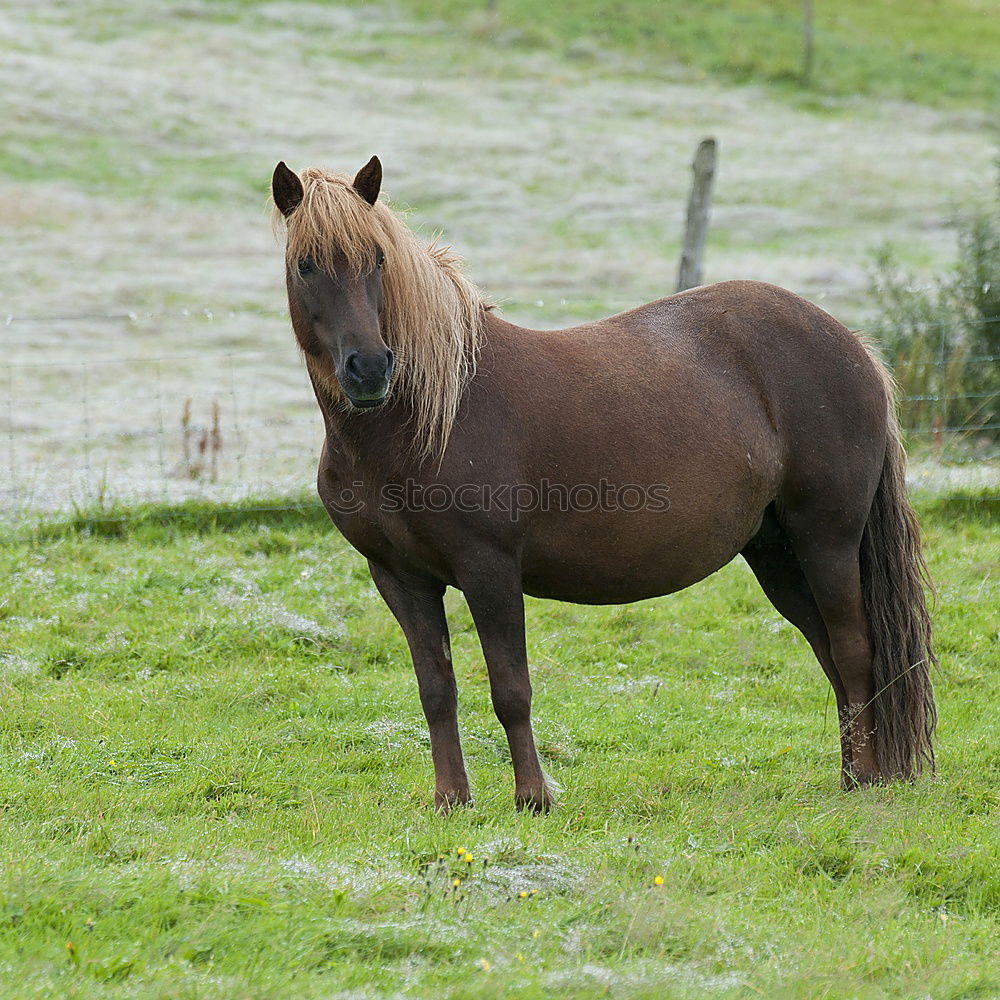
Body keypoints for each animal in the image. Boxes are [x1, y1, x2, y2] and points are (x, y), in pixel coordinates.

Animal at [270, 156, 932, 812]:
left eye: (377, 259)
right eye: (305, 265)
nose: (369, 369)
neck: (425, 418)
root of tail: (853, 347)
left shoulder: (490, 569)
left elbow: (510, 688)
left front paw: (533, 798)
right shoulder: (401, 579)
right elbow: (436, 688)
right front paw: (451, 801)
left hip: (827, 541)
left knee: (853, 649)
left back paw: (866, 780)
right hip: (776, 553)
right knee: (830, 654)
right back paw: (852, 776)